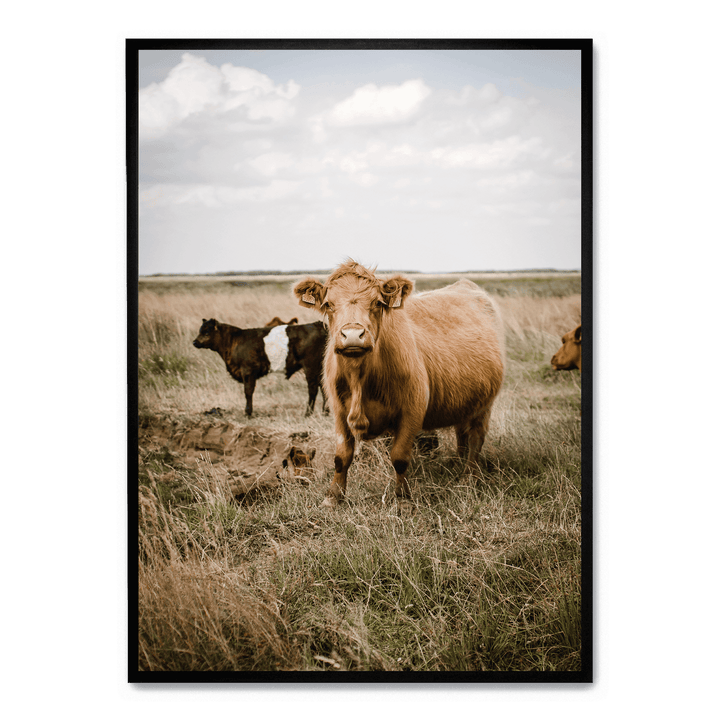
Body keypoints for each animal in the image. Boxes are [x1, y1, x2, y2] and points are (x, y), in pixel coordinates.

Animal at [192, 318, 328, 417]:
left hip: (310, 366)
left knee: (313, 389)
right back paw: (325, 412)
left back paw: (308, 413)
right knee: (324, 387)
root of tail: (317, 324)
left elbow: (248, 391)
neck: (233, 341)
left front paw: (248, 413)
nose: (194, 342)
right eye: (200, 330)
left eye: (206, 332)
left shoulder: (248, 370)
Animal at [293, 260, 504, 508]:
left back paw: (469, 477)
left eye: (377, 302)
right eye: (328, 304)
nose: (353, 335)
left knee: (476, 437)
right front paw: (333, 497)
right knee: (462, 432)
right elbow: (341, 457)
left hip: (485, 404)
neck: (360, 379)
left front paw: (403, 499)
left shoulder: (412, 410)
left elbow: (400, 457)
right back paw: (457, 463)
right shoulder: (338, 411)